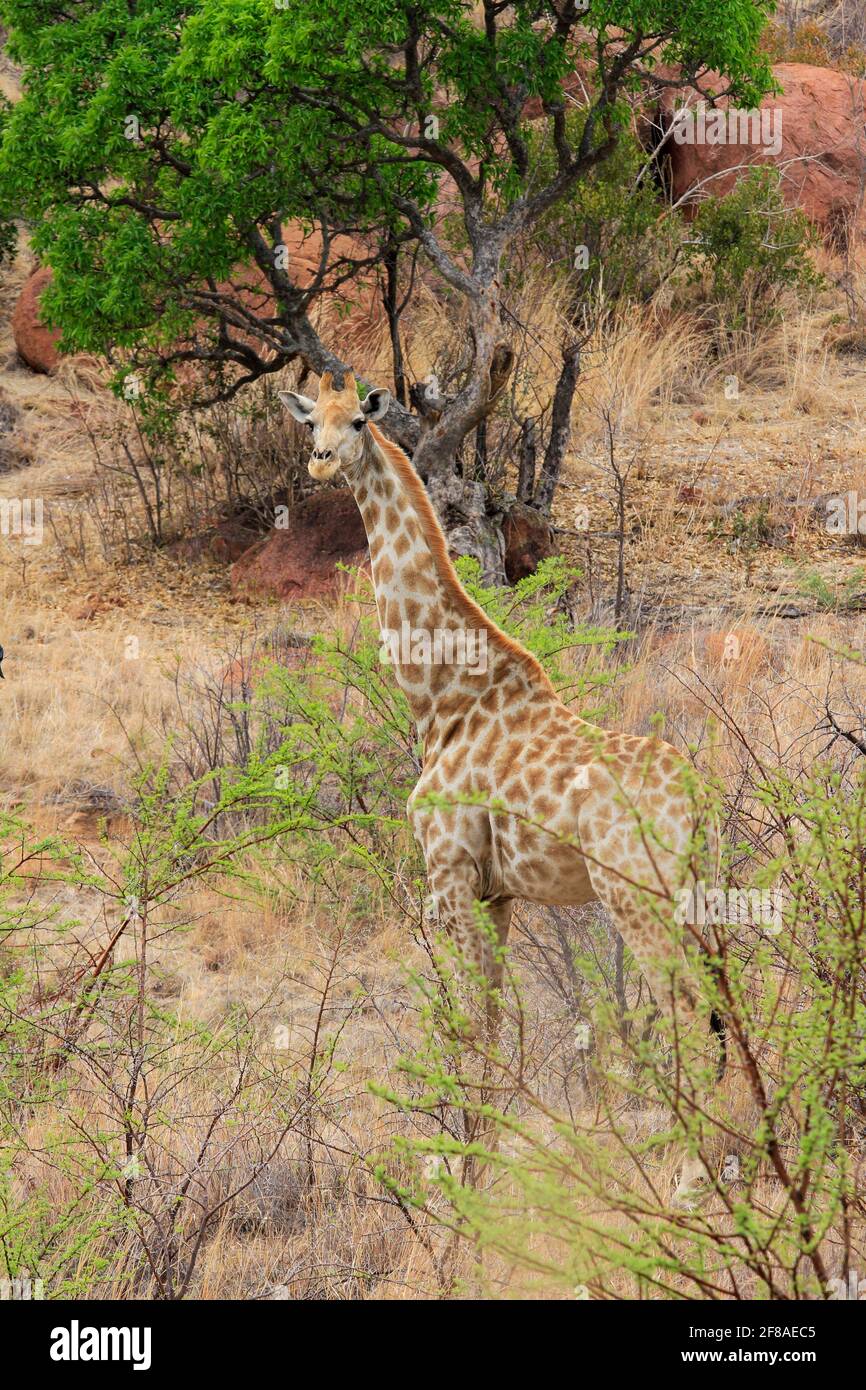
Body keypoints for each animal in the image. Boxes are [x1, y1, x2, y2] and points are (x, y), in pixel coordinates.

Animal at [280, 371, 723, 1205]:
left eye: (357, 422)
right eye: (309, 422)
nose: (320, 464)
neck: (440, 698)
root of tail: (694, 799)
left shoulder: (447, 874)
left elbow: (464, 1026)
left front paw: (456, 1179)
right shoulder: (498, 892)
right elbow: (485, 1022)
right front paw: (476, 1166)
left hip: (635, 895)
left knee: (684, 1006)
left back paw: (690, 1180)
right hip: (692, 897)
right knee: (719, 1004)